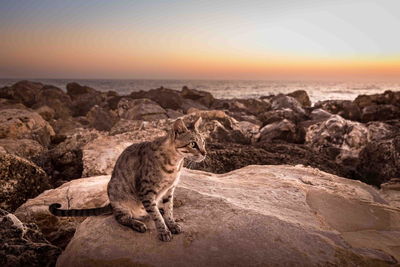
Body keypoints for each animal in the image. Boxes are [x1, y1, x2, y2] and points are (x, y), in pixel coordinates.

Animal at [50, 118, 206, 242]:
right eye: (193, 144)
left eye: (203, 142)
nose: (205, 153)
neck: (175, 164)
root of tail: (111, 204)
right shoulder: (146, 191)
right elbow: (156, 216)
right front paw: (163, 231)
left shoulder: (169, 190)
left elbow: (169, 210)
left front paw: (171, 223)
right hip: (120, 198)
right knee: (121, 218)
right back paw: (137, 223)